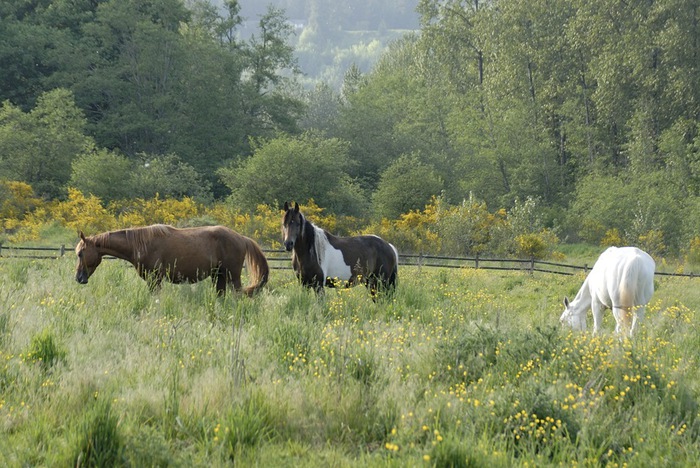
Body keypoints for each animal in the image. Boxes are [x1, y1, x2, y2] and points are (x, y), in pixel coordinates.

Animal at [75, 224, 270, 296]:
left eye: (80, 253)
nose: (78, 278)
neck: (141, 244)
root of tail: (242, 238)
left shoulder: (155, 279)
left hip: (232, 276)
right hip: (218, 276)